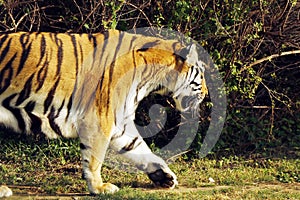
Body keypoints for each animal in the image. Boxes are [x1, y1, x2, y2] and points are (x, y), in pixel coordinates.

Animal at [0, 30, 206, 197]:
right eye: (202, 76)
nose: (205, 94)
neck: (151, 75)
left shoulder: (120, 123)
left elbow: (138, 147)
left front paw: (164, 176)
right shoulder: (100, 119)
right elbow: (94, 159)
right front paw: (98, 187)